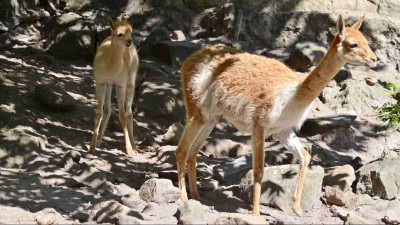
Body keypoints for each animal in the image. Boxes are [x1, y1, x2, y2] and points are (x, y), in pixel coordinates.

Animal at [89, 17, 139, 156]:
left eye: (131, 31)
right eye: (119, 34)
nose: (129, 42)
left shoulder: (120, 85)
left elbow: (122, 114)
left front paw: (129, 149)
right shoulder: (100, 83)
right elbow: (99, 112)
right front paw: (91, 146)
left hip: (130, 82)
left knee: (129, 113)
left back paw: (134, 147)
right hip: (109, 86)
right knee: (108, 109)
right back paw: (99, 141)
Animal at [175, 14, 376, 215]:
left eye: (367, 41)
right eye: (353, 44)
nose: (374, 60)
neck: (294, 96)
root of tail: (190, 58)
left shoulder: (282, 130)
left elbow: (305, 157)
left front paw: (296, 208)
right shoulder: (259, 123)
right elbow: (258, 170)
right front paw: (256, 213)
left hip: (211, 117)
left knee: (193, 152)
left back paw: (197, 196)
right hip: (196, 108)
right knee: (181, 150)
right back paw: (184, 197)